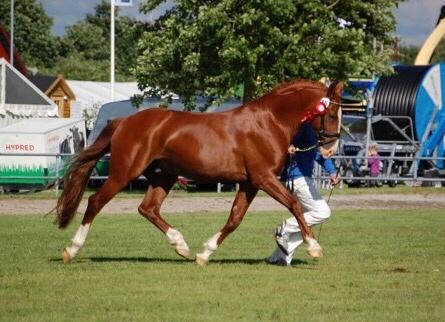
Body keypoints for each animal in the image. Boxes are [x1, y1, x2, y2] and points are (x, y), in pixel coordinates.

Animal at [55, 79, 344, 266]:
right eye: (331, 112)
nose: (331, 147)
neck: (268, 122)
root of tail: (125, 121)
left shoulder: (250, 183)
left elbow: (235, 219)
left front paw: (204, 254)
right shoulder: (264, 178)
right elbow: (294, 204)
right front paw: (314, 248)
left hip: (164, 177)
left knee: (148, 208)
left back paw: (181, 246)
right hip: (122, 174)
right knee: (95, 202)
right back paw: (71, 249)